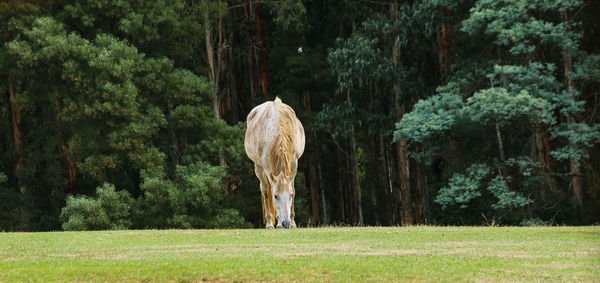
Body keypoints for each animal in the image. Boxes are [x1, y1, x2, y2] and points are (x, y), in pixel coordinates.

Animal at [244, 97, 304, 229]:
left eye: (290, 195)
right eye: (276, 196)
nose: (286, 223)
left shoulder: (294, 162)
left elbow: (293, 188)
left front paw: (293, 222)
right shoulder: (266, 165)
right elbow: (268, 191)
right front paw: (274, 223)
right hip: (259, 167)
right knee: (265, 189)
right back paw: (270, 223)